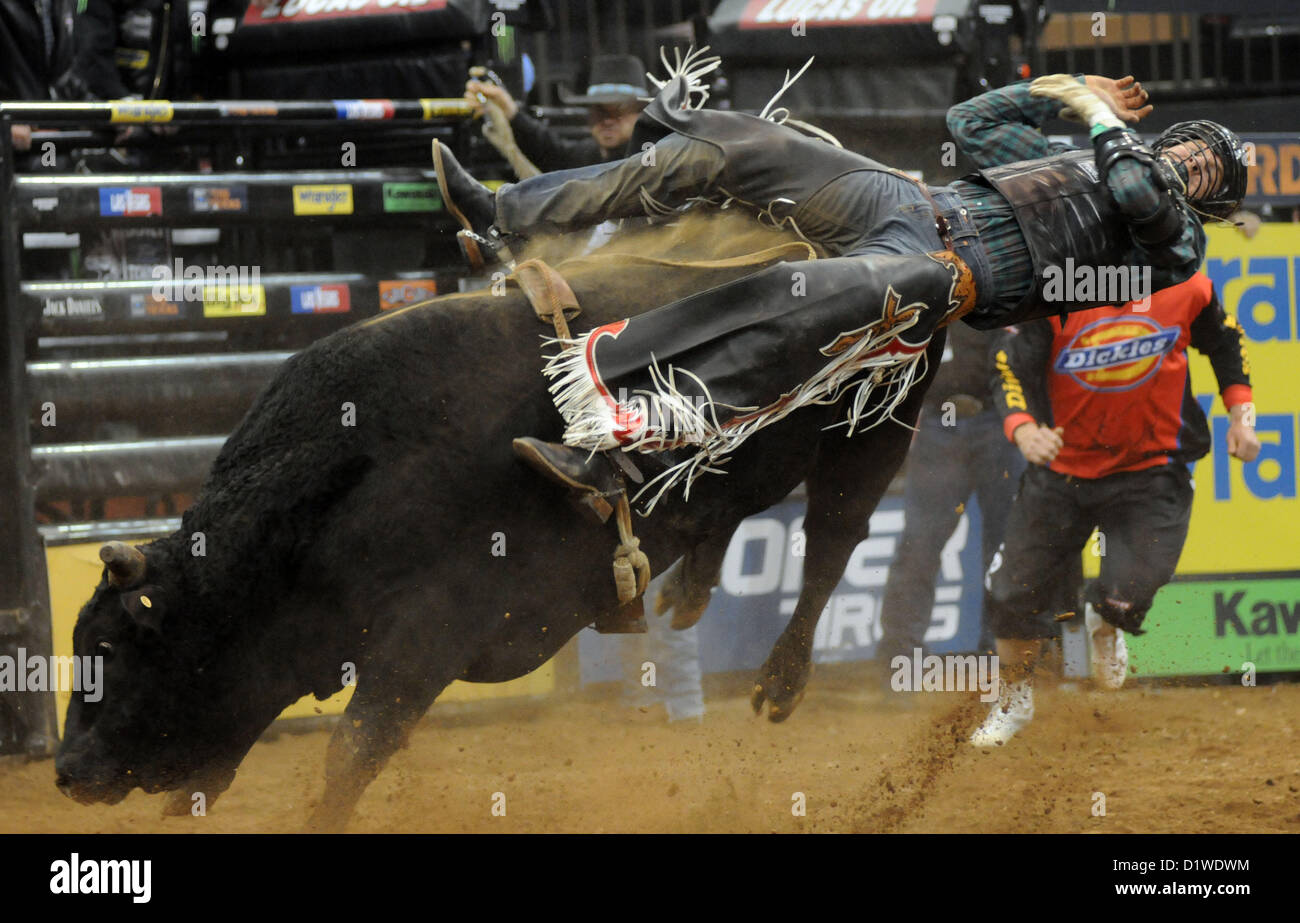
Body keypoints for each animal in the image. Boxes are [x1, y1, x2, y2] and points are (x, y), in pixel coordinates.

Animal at [55, 240, 946, 832]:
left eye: (109, 649)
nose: (66, 770)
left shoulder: (425, 637)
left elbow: (352, 751)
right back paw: (691, 588)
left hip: (879, 424)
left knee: (833, 539)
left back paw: (784, 678)